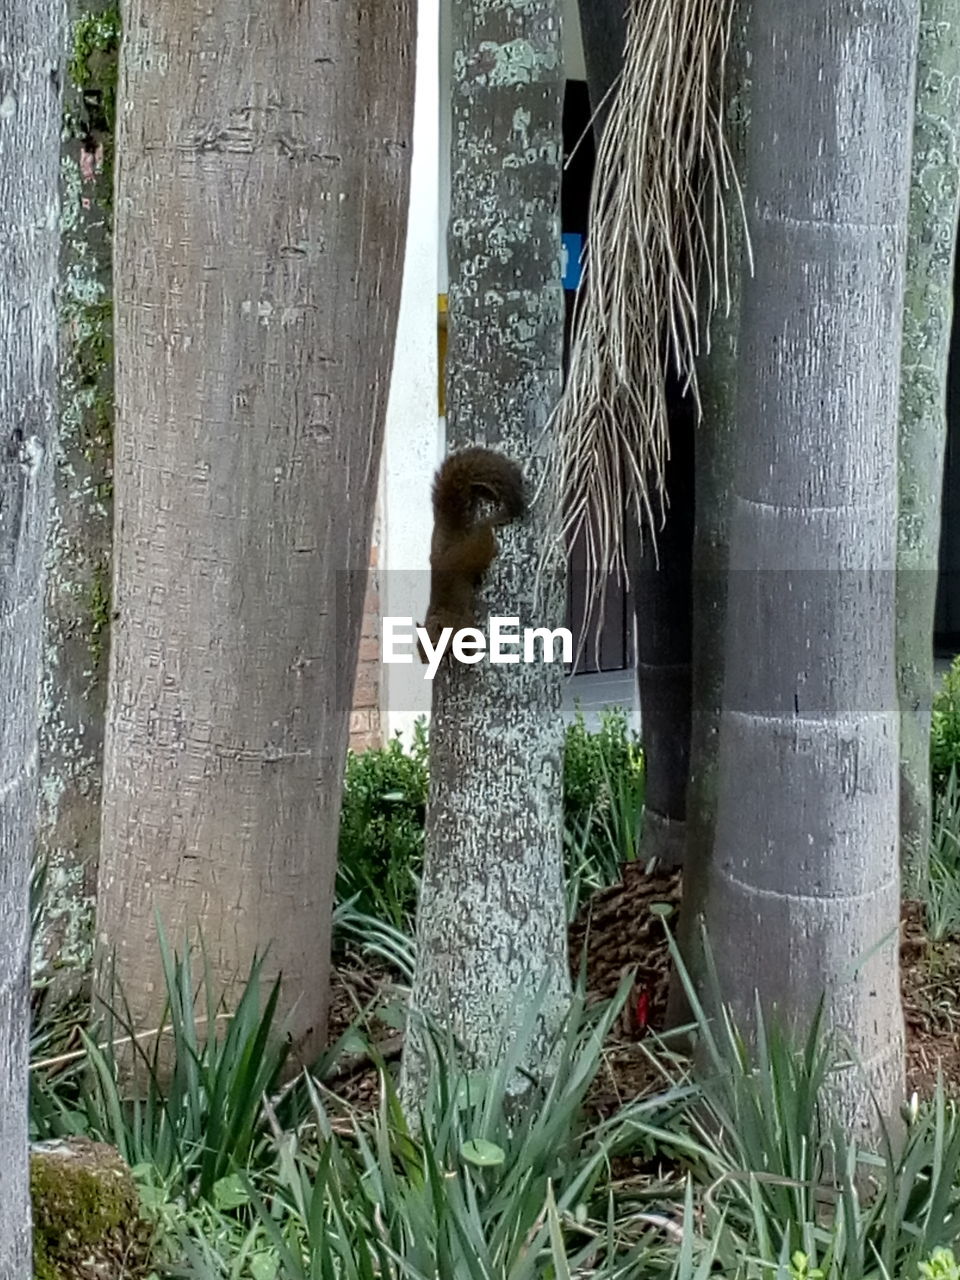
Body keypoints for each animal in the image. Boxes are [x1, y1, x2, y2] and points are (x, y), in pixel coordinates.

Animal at [419, 445, 527, 660]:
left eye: (434, 643)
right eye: (418, 647)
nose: (426, 662)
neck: (445, 617)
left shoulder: (463, 621)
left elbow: (469, 634)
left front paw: (467, 653)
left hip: (478, 549)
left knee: (486, 536)